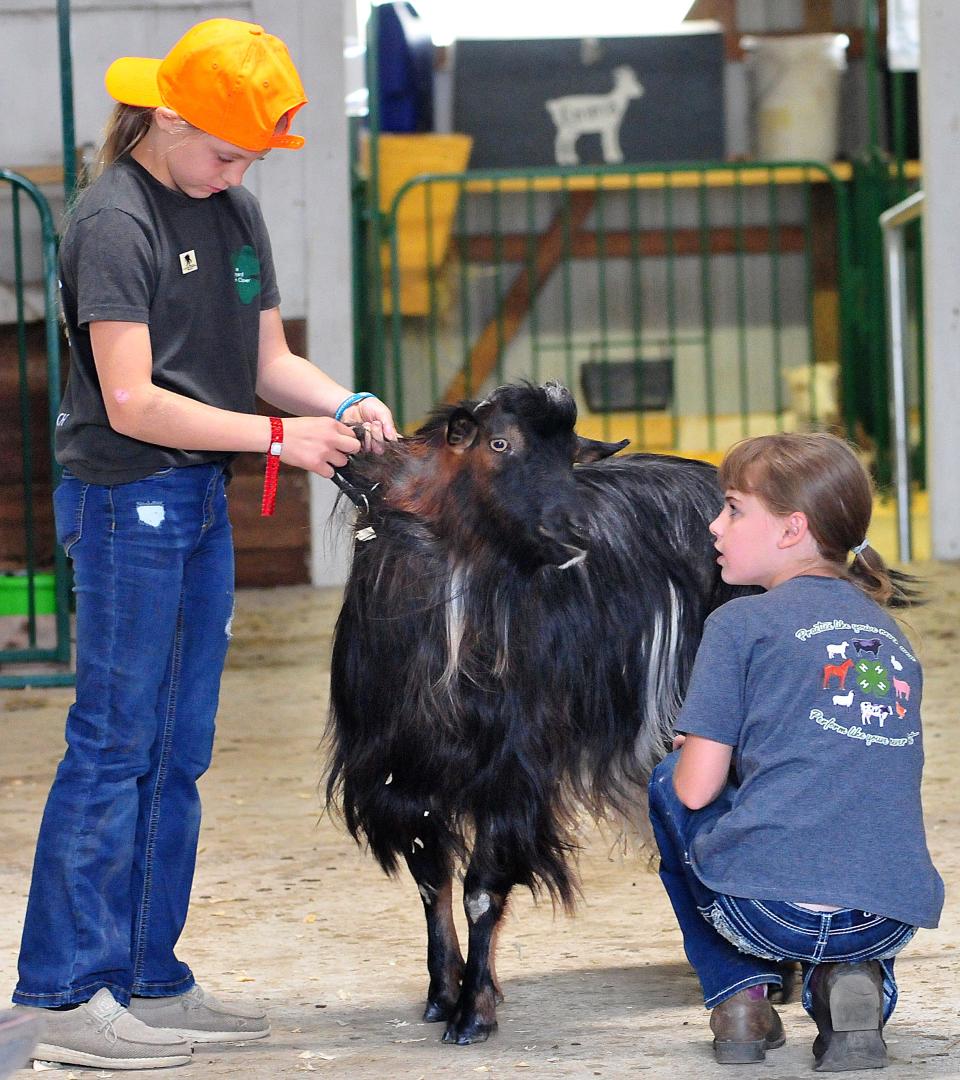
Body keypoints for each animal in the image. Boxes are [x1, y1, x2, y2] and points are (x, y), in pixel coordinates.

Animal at [326, 384, 747, 1041]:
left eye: (569, 457)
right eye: (500, 444)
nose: (576, 532)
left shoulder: (511, 765)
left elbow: (480, 888)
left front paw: (473, 1012)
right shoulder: (402, 768)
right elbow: (430, 881)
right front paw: (443, 993)